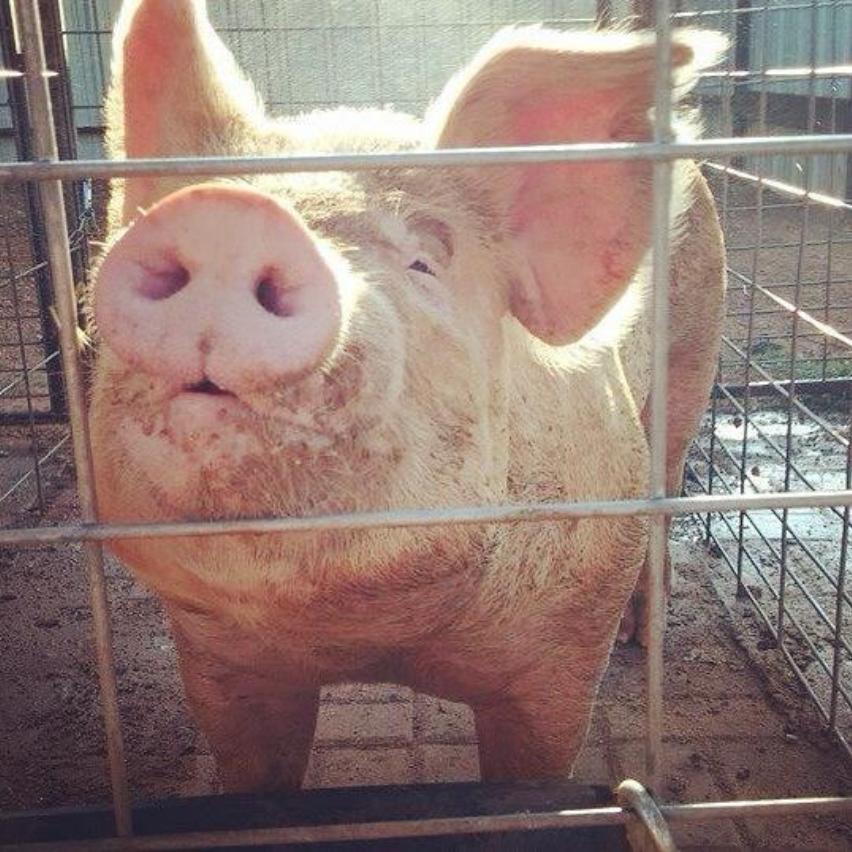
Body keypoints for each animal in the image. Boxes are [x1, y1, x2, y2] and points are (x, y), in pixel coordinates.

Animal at [89, 0, 726, 792]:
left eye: (422, 263)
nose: (225, 214)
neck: (373, 641)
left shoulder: (563, 656)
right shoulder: (217, 660)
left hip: (693, 354)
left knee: (668, 476)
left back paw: (644, 631)